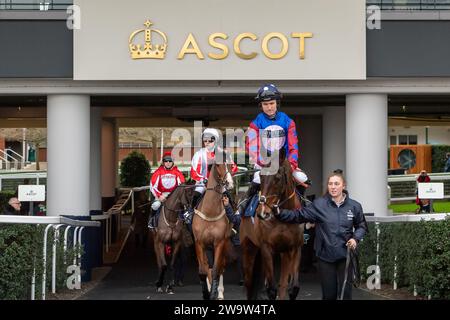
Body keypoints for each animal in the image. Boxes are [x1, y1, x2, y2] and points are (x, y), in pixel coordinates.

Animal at [192, 160, 234, 300]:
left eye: (231, 164)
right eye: (218, 164)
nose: (229, 183)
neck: (210, 212)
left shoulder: (219, 242)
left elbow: (216, 269)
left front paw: (215, 293)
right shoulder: (199, 243)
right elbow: (203, 270)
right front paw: (207, 293)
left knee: (220, 266)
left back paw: (219, 292)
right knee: (207, 266)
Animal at [241, 155, 304, 300]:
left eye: (278, 177)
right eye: (261, 176)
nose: (263, 213)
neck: (282, 218)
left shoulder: (295, 247)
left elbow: (292, 288)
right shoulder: (266, 248)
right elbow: (271, 290)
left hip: (283, 253)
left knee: (282, 284)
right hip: (248, 248)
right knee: (249, 283)